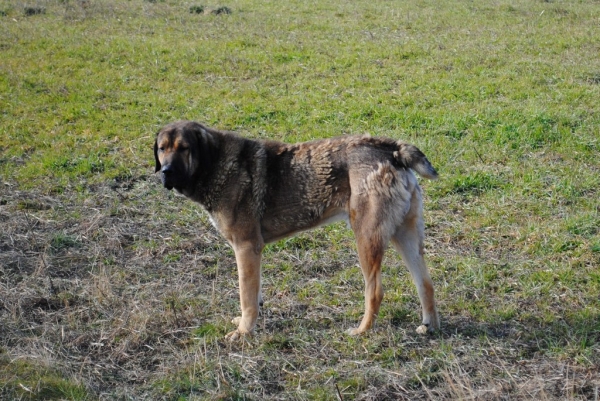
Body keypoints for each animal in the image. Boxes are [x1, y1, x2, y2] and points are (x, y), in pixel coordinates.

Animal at [152, 120, 438, 340]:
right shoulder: (251, 253)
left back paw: (362, 330)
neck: (215, 164)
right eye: (162, 149)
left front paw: (243, 333)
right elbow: (254, 294)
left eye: (184, 148)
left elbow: (246, 298)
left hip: (367, 239)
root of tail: (392, 150)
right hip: (406, 238)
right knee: (425, 283)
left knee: (375, 291)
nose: (166, 172)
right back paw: (429, 327)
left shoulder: (246, 248)